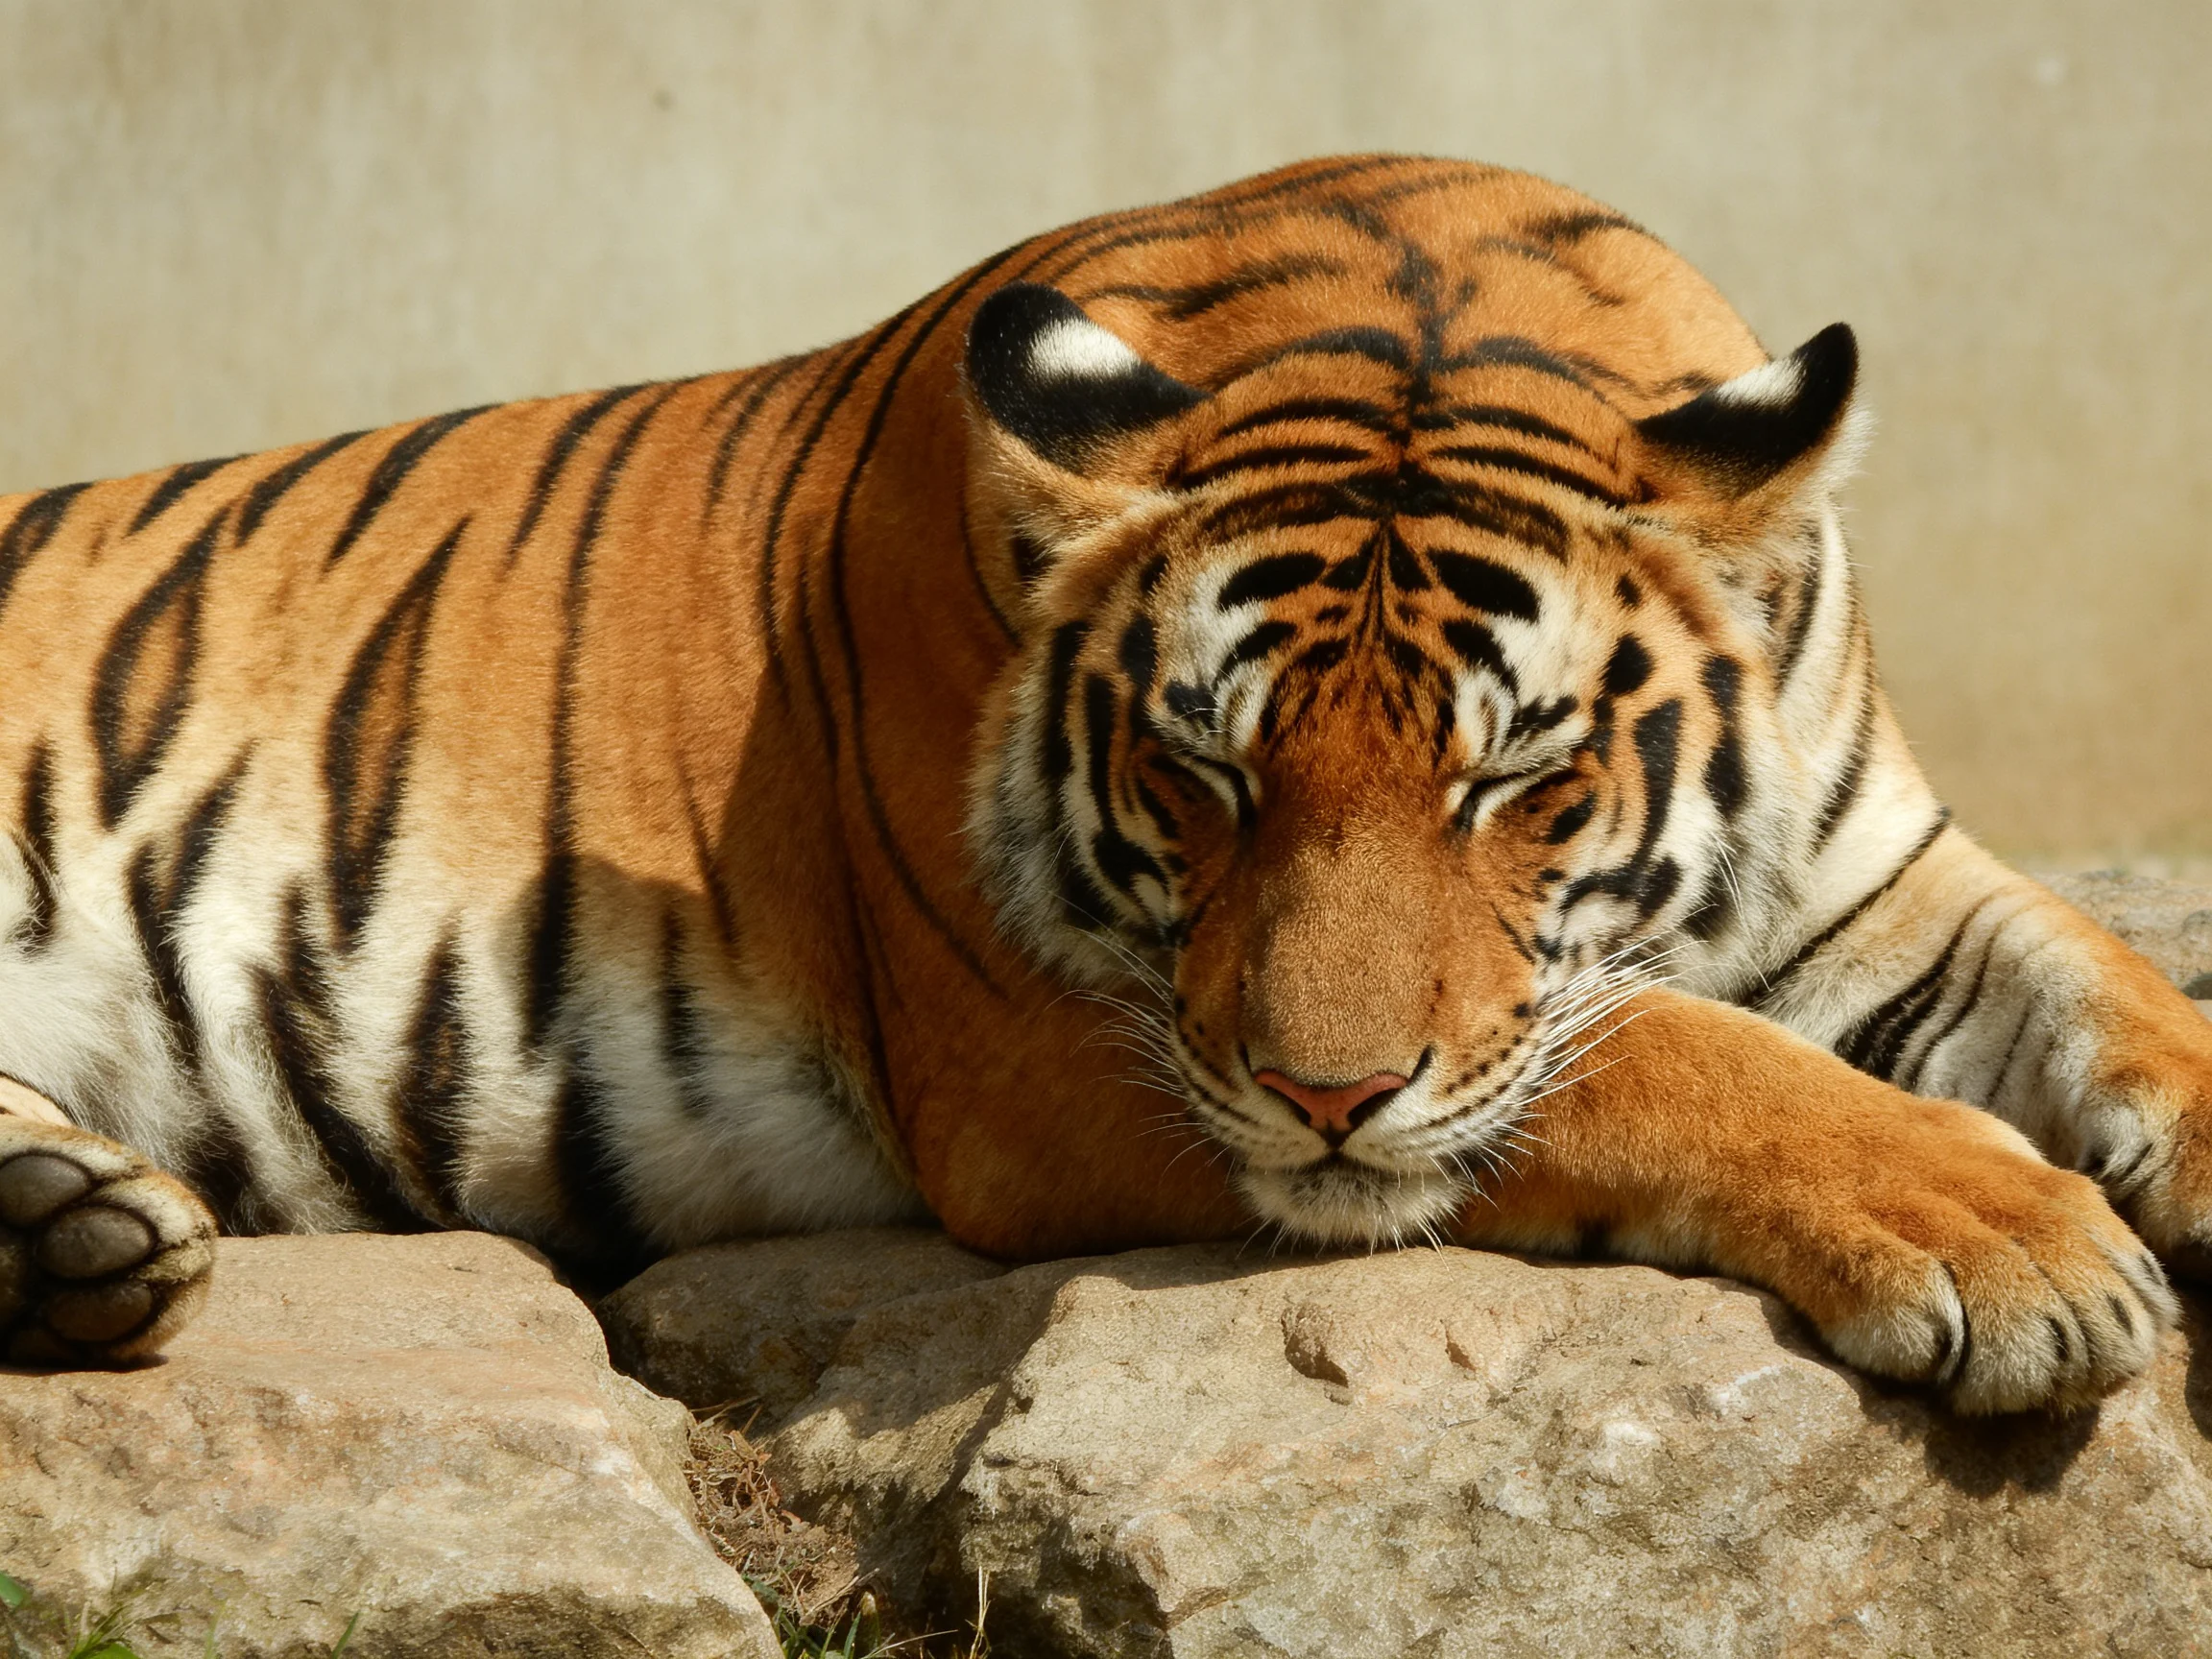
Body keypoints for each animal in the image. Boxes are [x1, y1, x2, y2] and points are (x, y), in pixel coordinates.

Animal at [0, 155, 2204, 1415]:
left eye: (1518, 779)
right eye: (1200, 768)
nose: (1325, 1098)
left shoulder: (1879, 882)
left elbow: (2108, 986)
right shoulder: (1053, 1050)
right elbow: (1662, 1057)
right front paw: (2008, 1243)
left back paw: (73, 1236)